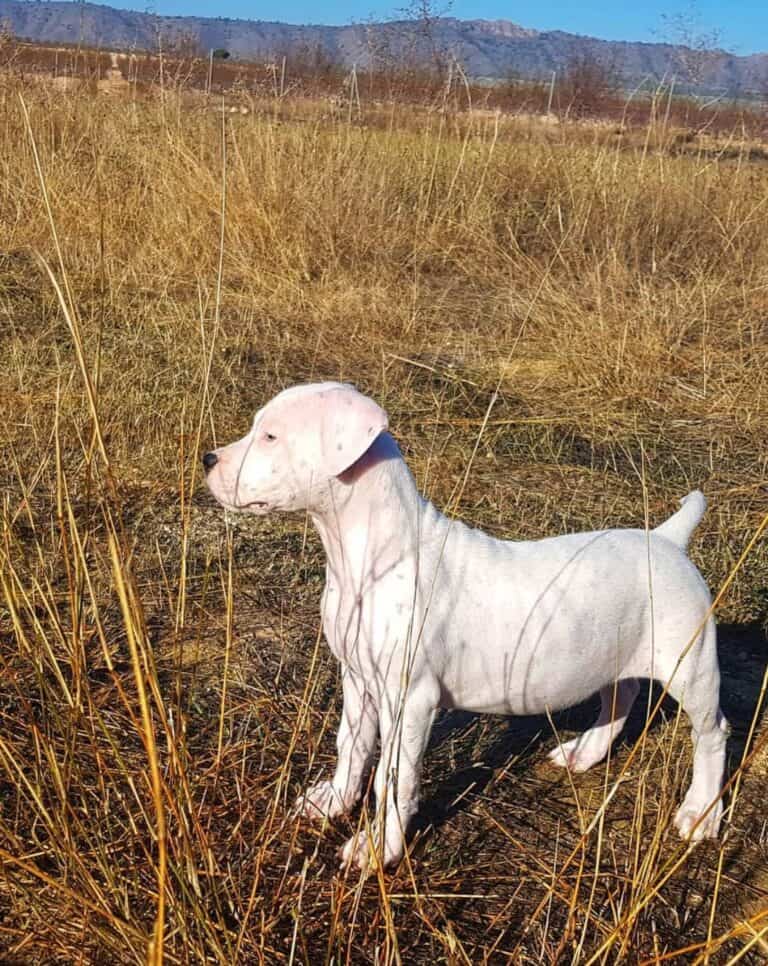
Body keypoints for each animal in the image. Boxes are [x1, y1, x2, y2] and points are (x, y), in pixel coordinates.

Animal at [202, 382, 728, 872]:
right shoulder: (358, 678)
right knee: (622, 694)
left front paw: (377, 848)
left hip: (691, 667)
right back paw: (585, 753)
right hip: (611, 653)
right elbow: (351, 746)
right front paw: (332, 800)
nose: (207, 458)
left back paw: (700, 812)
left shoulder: (409, 699)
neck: (371, 557)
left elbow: (393, 777)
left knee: (712, 732)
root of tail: (667, 540)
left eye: (271, 436)